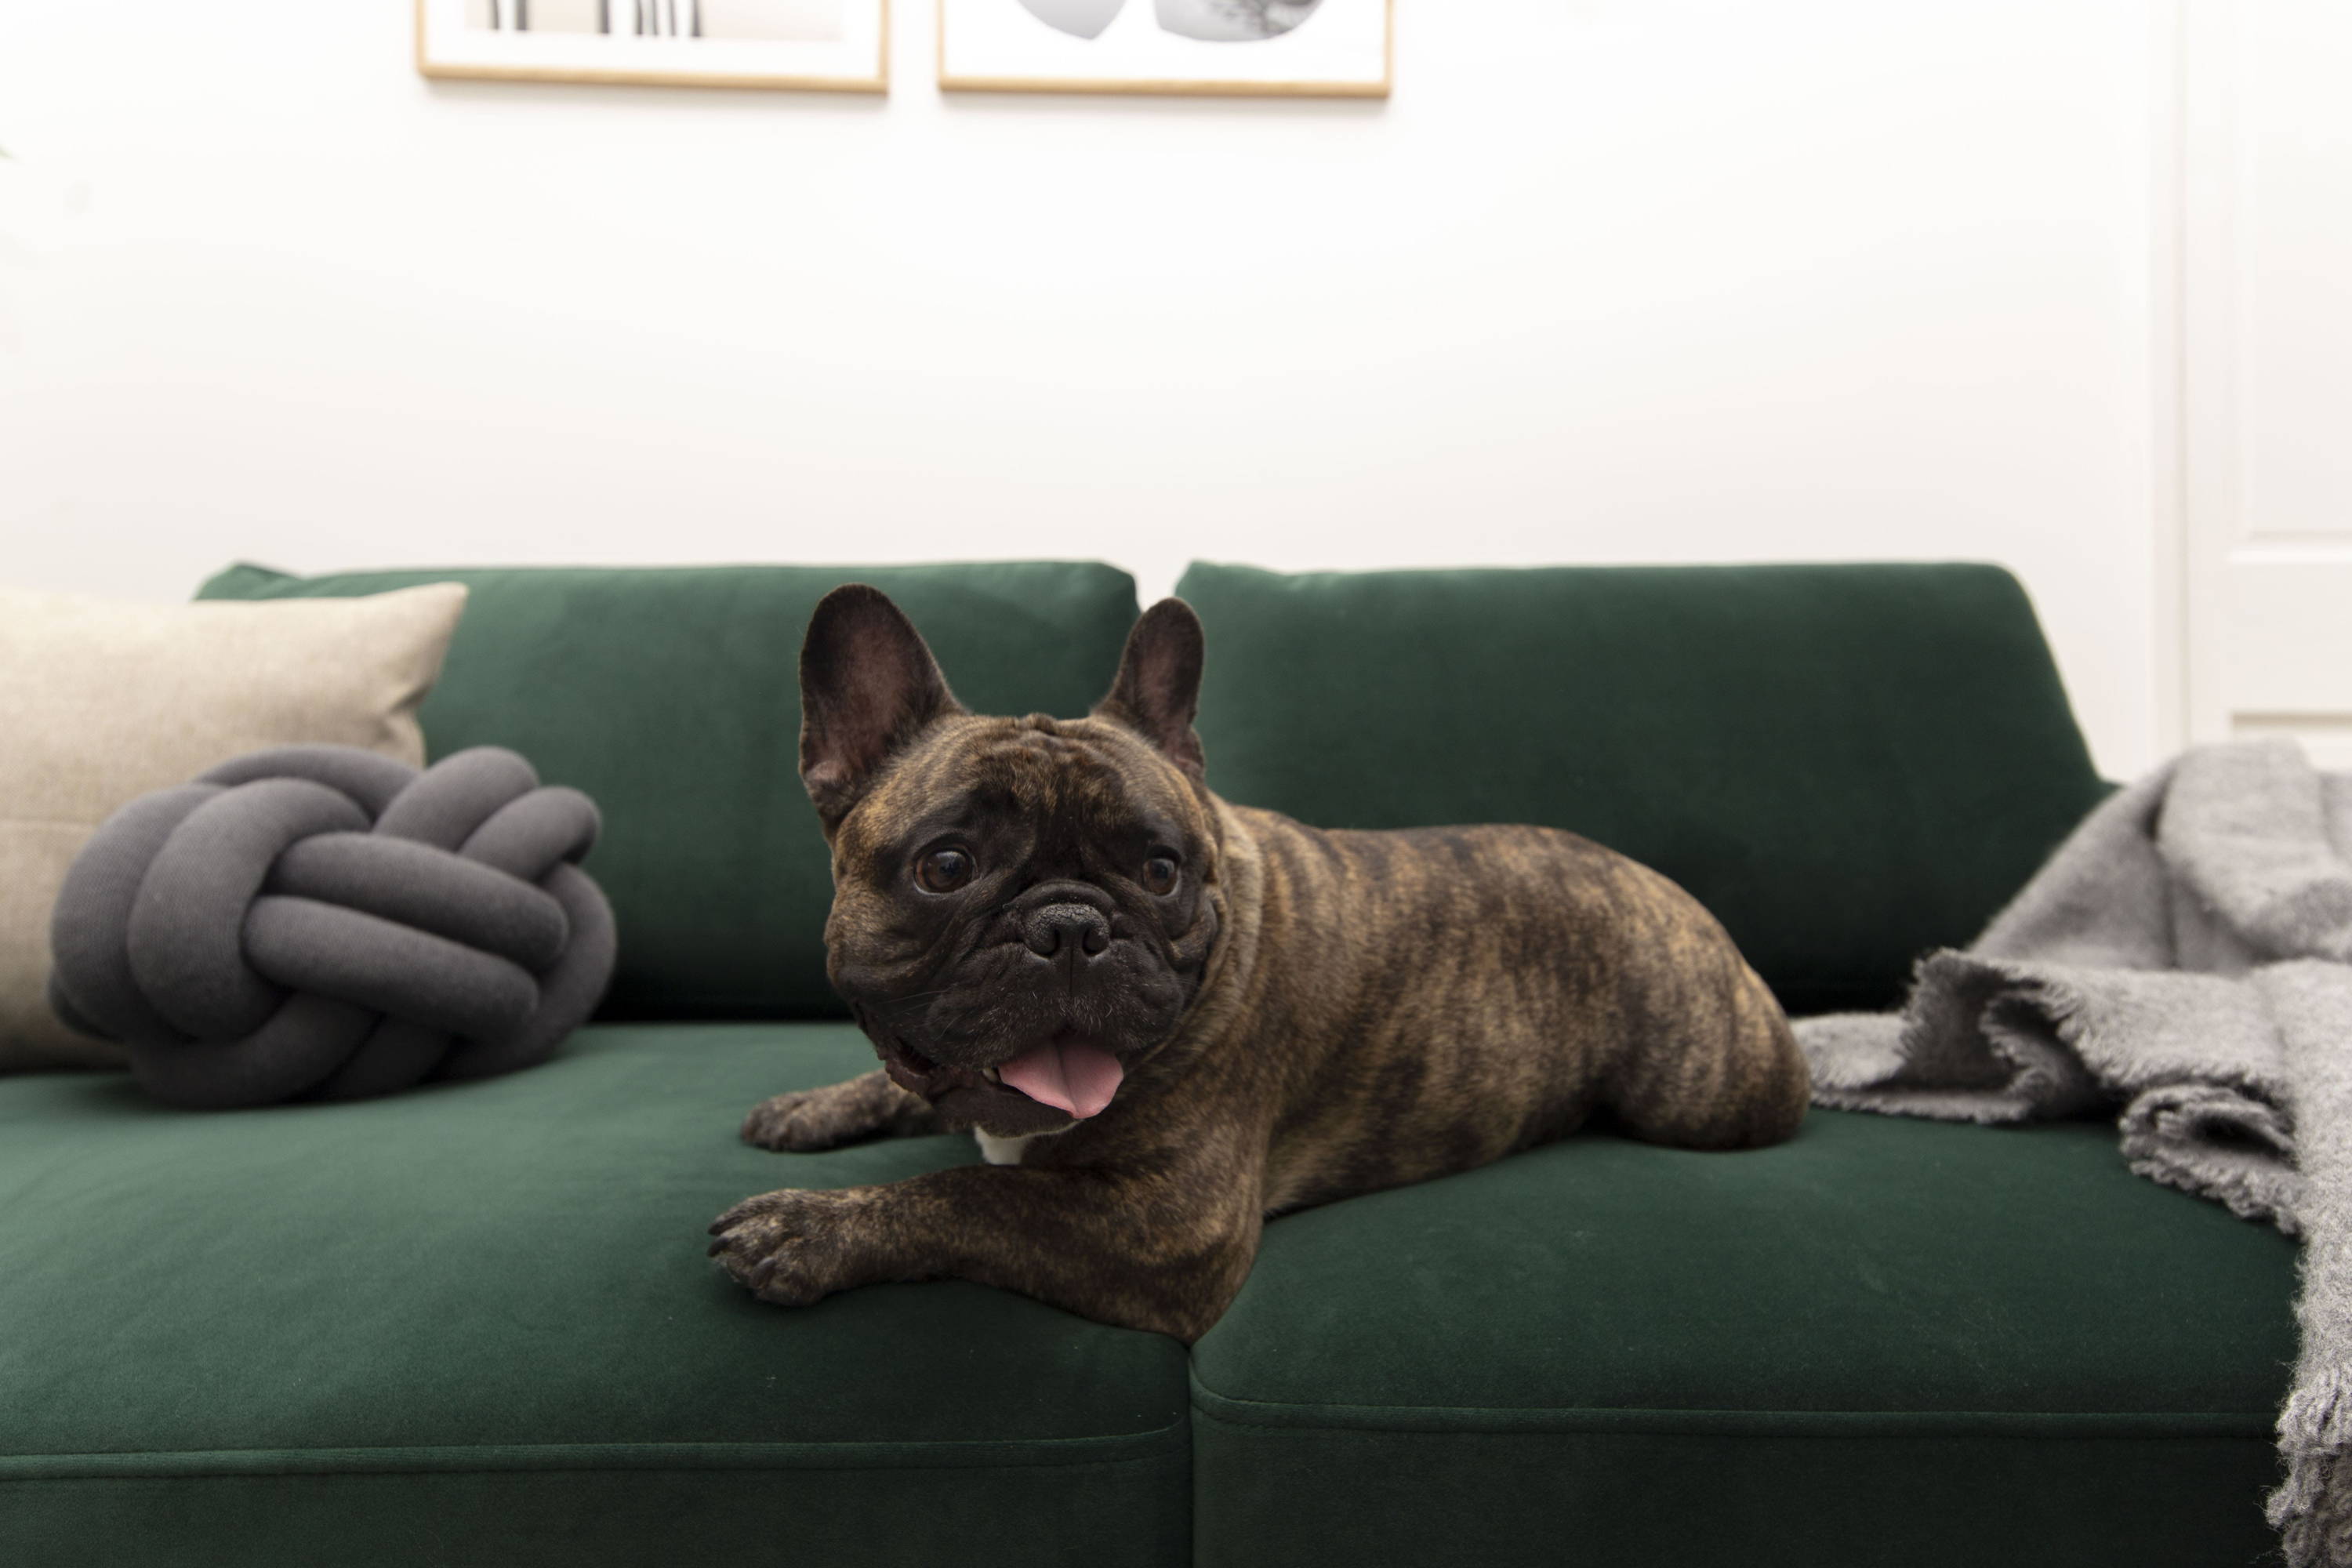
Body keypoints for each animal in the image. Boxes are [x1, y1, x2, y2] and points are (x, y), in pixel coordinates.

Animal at [706, 583, 1806, 1345]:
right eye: (946, 865)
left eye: (1160, 869)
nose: (1070, 925)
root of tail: (1667, 889)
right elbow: (907, 1095)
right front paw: (812, 1107)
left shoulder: (1167, 1223)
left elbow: (974, 1194)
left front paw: (811, 1230)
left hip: (1706, 1095)